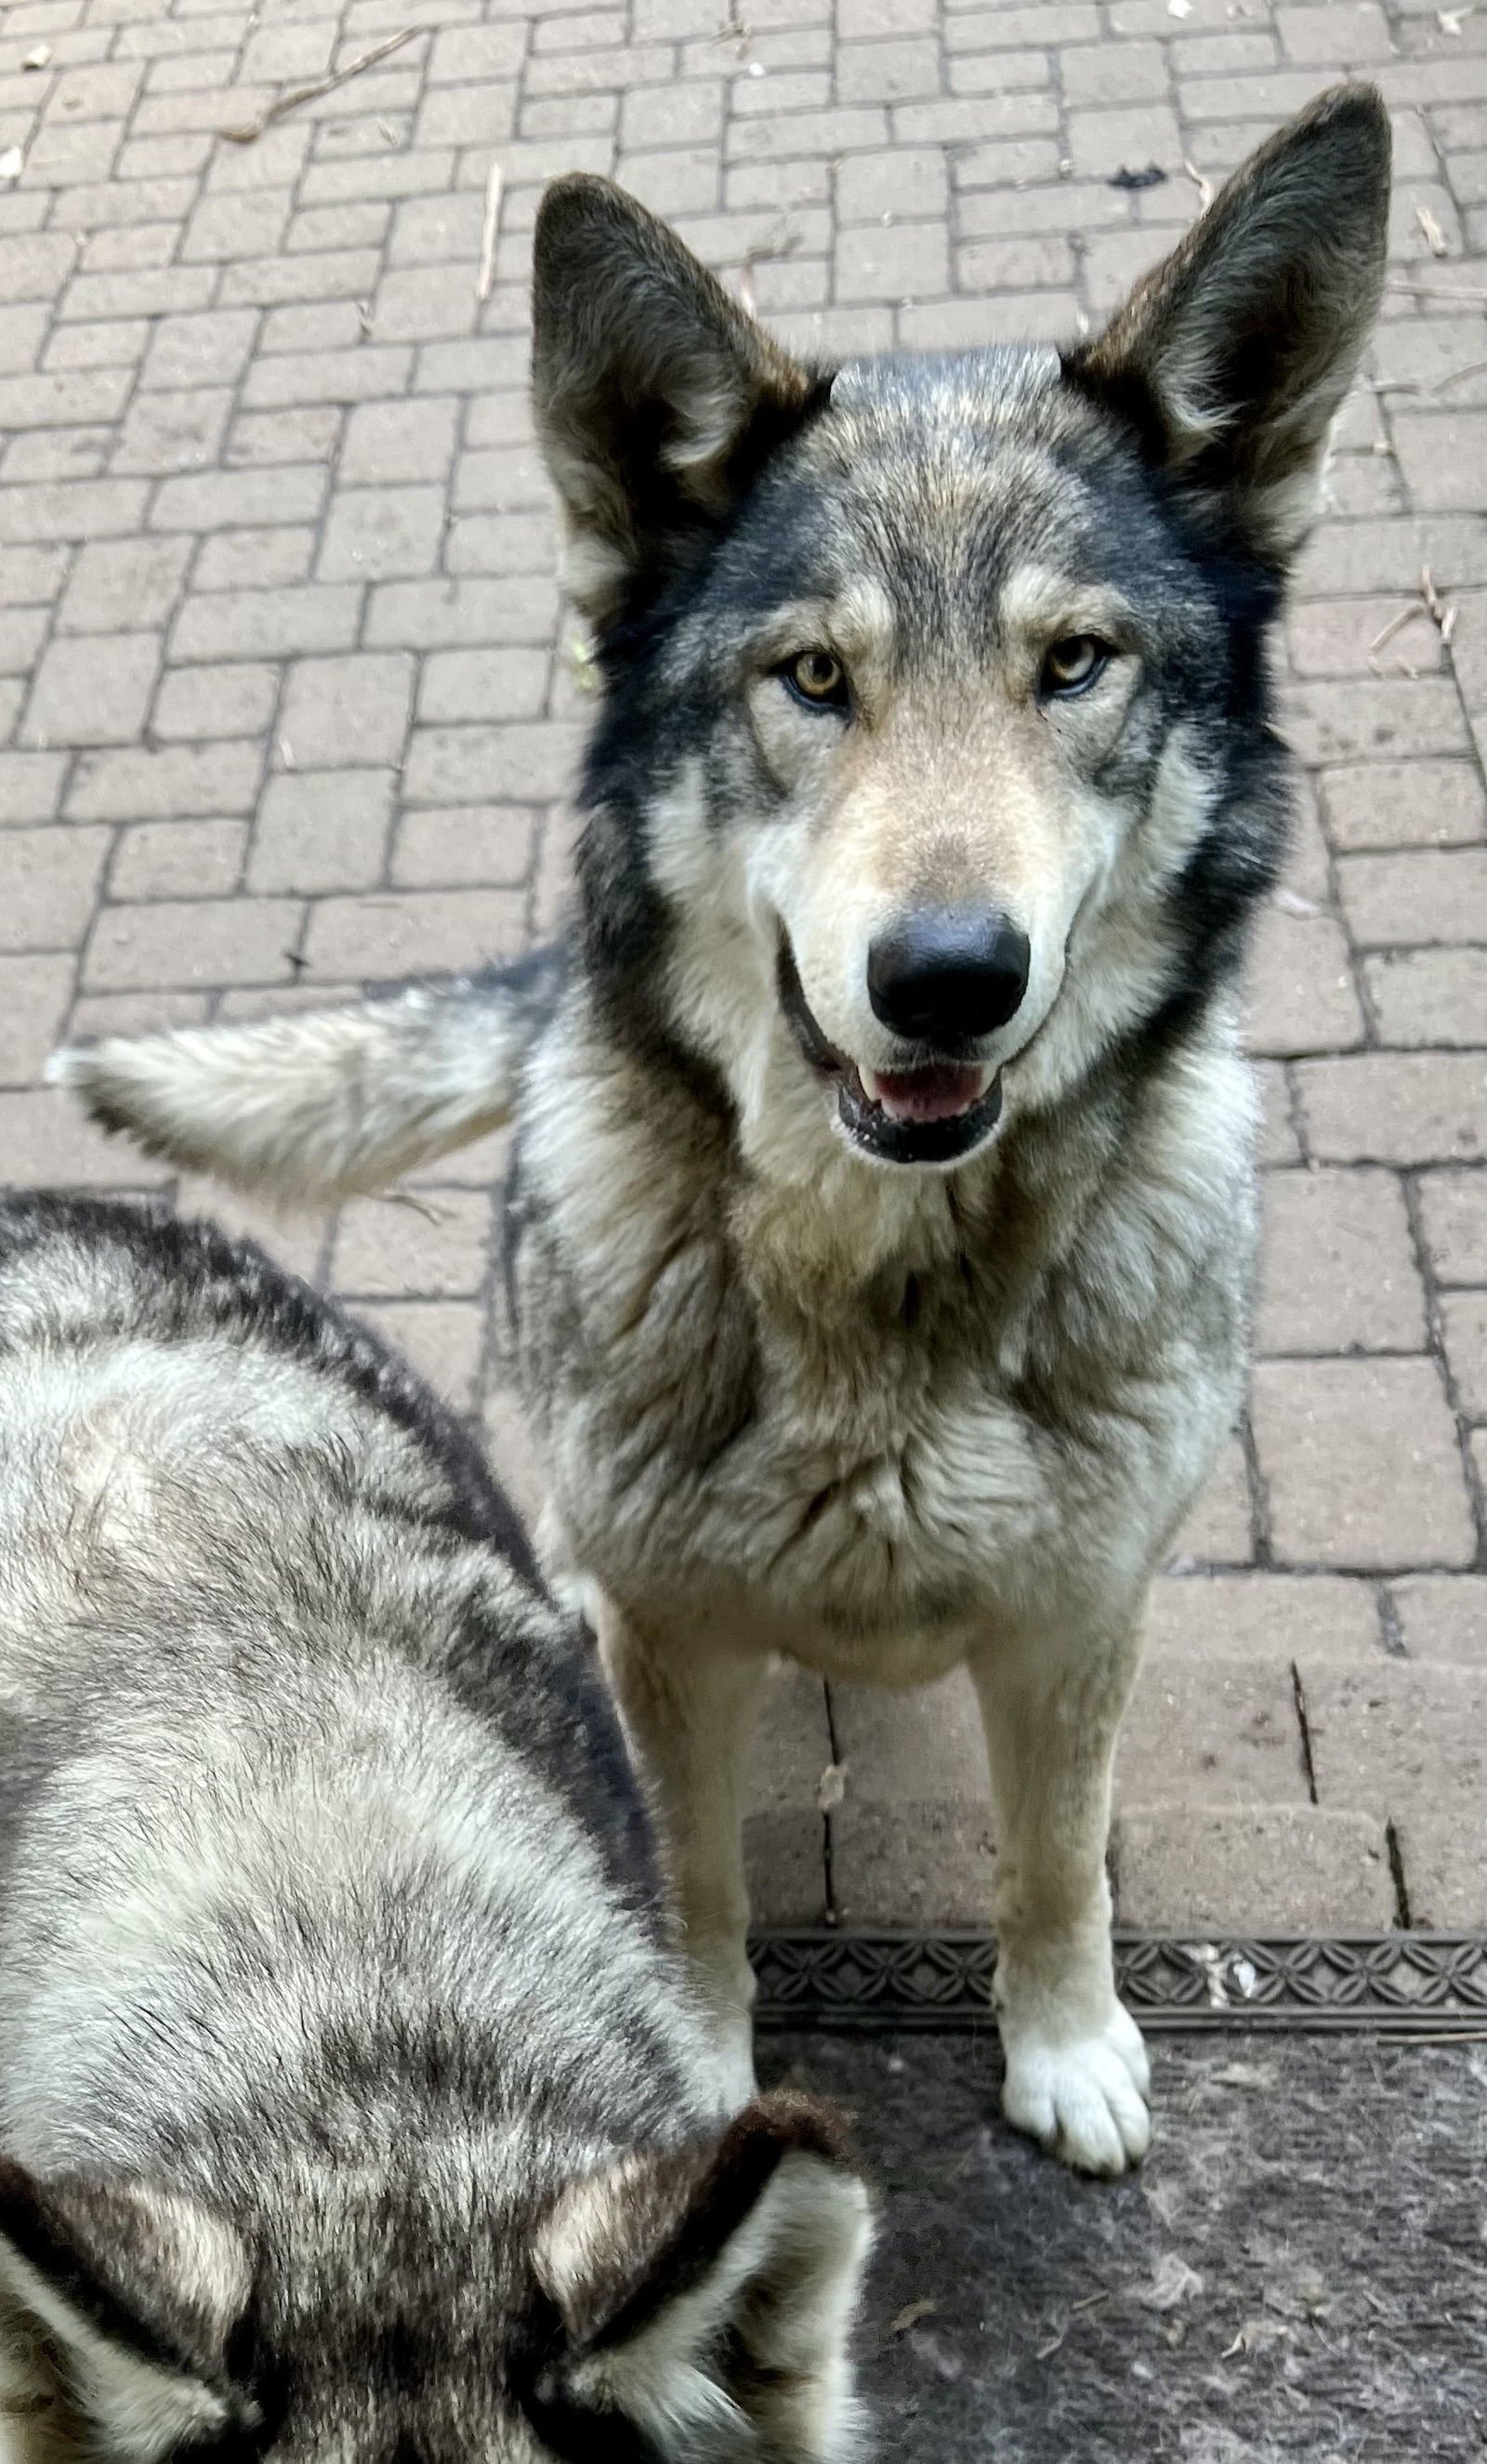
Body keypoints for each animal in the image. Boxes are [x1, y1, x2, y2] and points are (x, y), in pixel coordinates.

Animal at [48, 91, 1398, 2178]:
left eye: (1074, 665)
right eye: (812, 677)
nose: (947, 978)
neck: (885, 1310)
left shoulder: (1080, 1619)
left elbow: (1055, 1858)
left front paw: (1065, 2040)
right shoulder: (672, 1643)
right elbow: (688, 1886)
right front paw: (696, 2060)